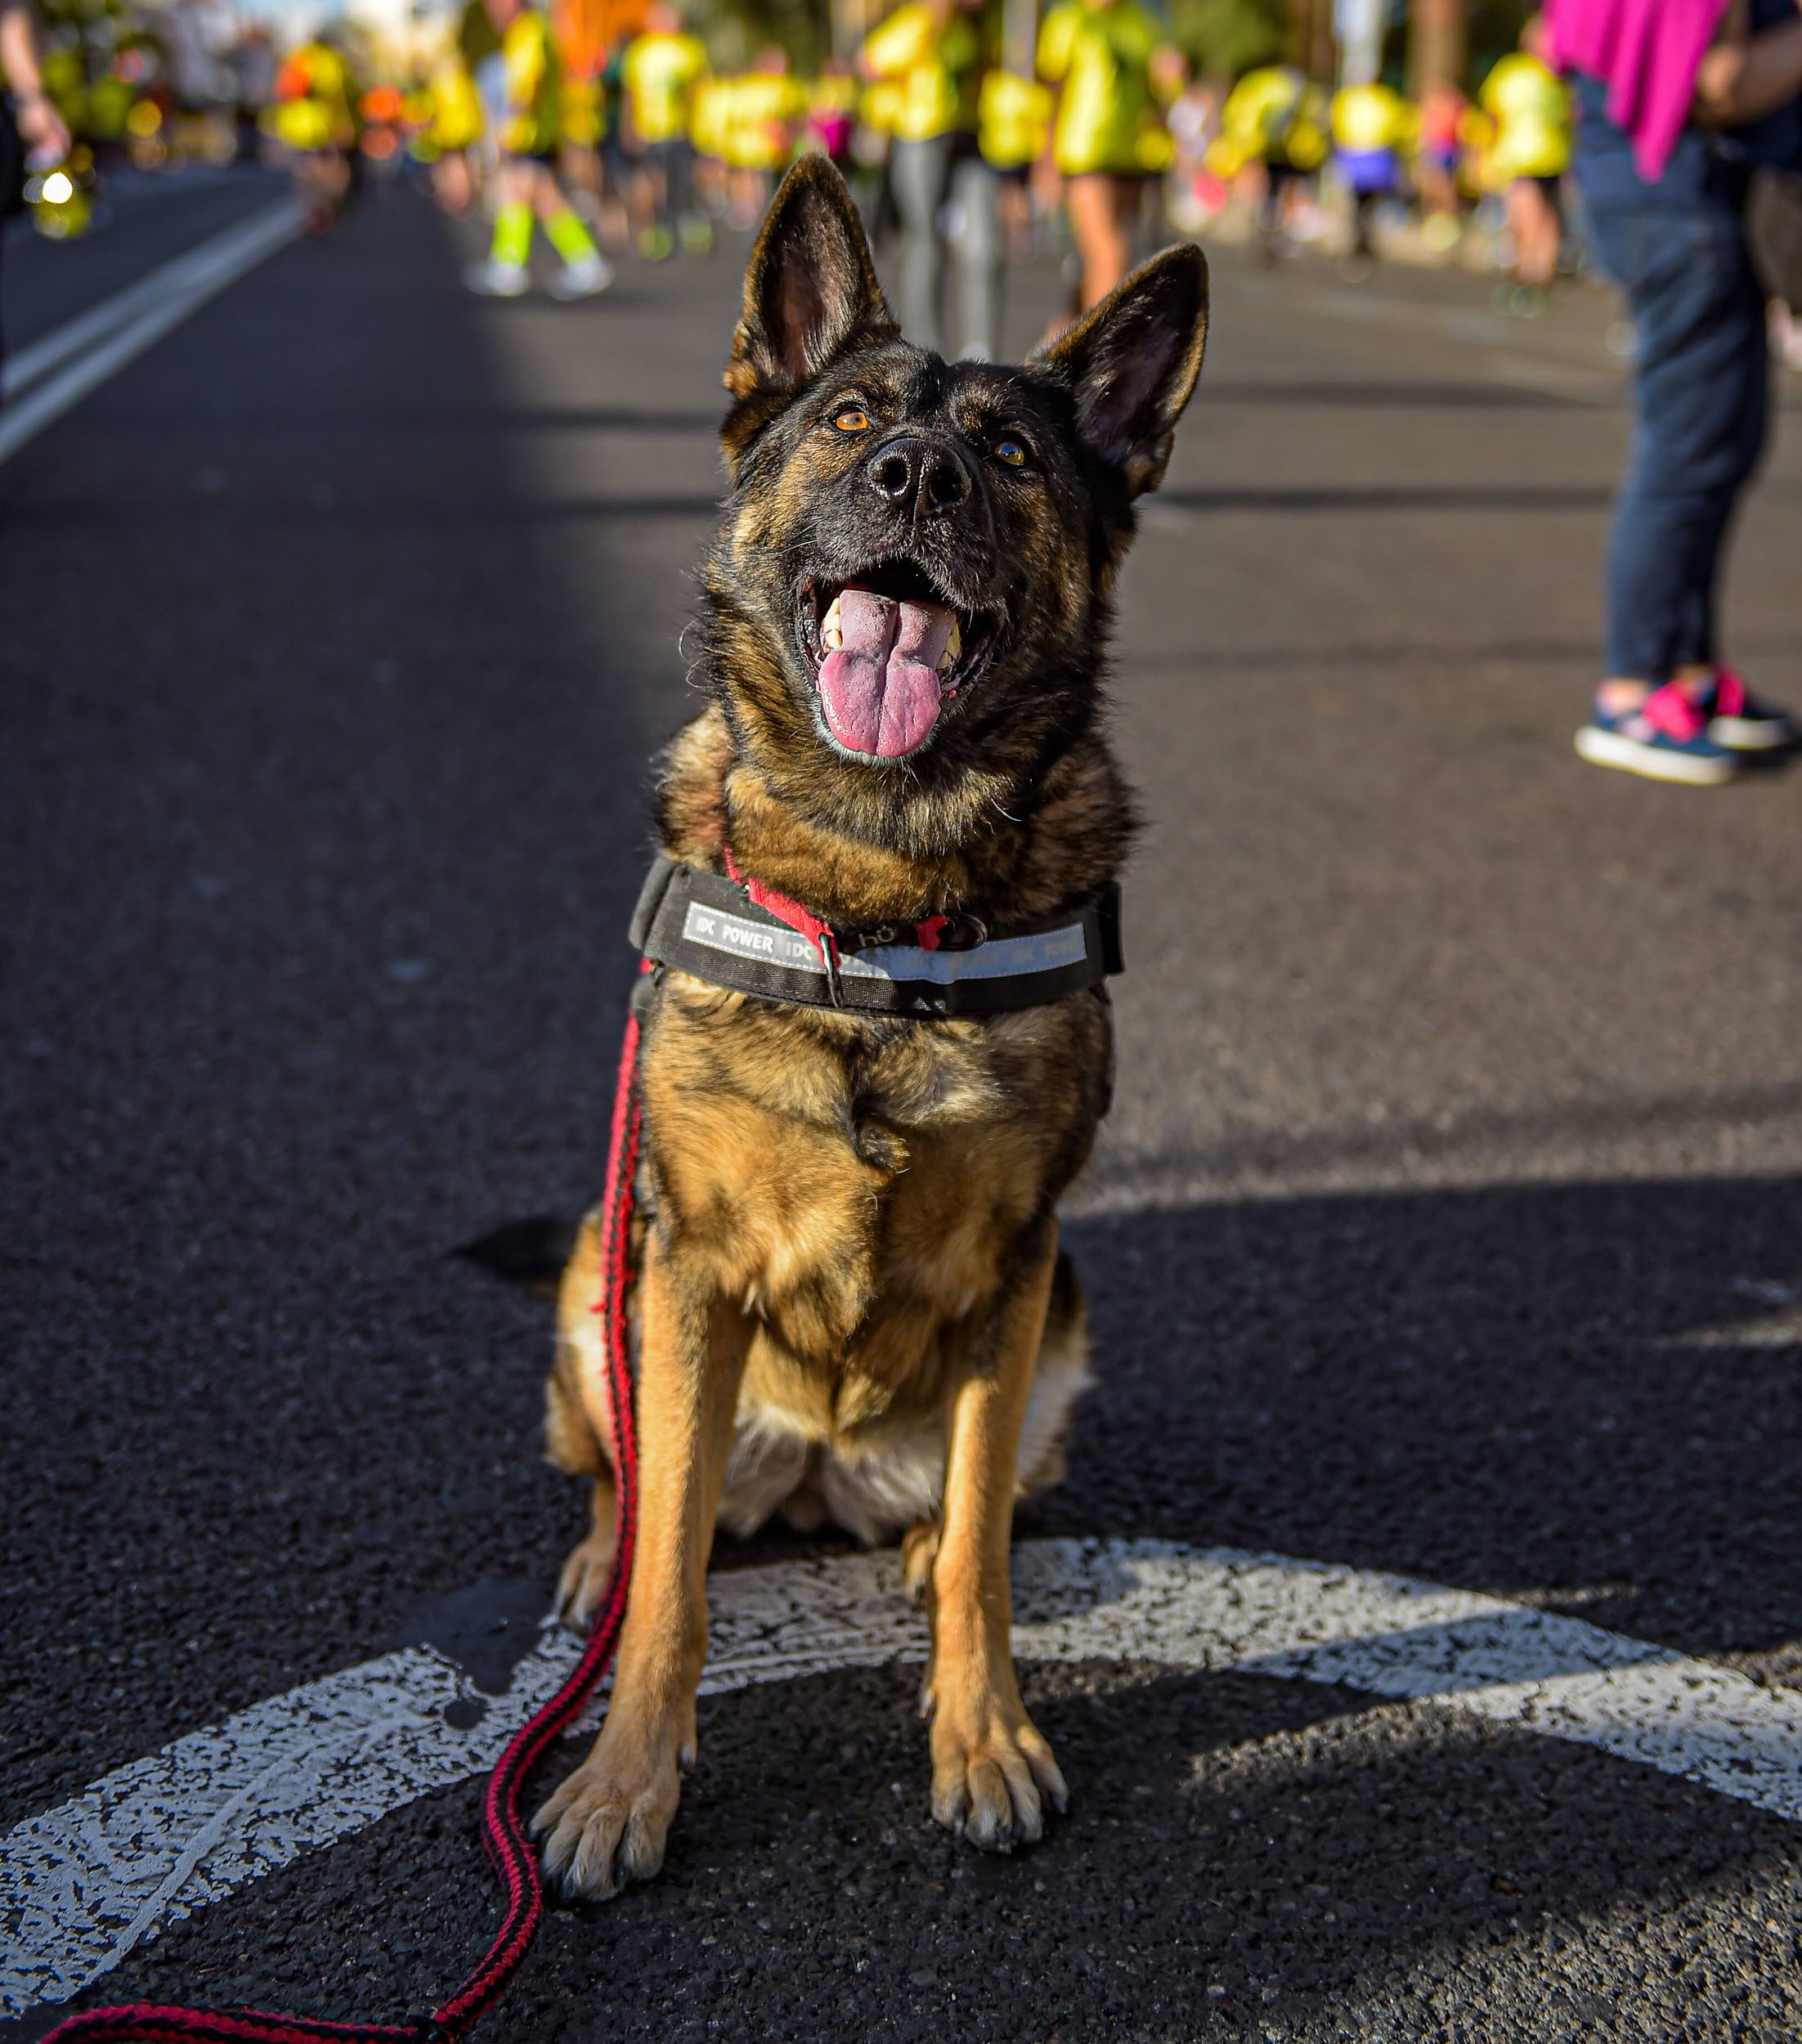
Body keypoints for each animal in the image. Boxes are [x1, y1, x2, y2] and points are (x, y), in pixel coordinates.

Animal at [535, 159, 1209, 1897]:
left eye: (1014, 454)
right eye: (847, 422)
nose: (915, 477)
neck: (882, 899)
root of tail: (819, 1477)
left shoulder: (1017, 1265)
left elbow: (978, 1548)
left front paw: (983, 1740)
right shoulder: (686, 1260)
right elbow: (669, 1589)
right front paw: (622, 1786)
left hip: (1061, 1327)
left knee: (962, 1508)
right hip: (601, 1261)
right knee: (633, 1488)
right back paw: (595, 1560)